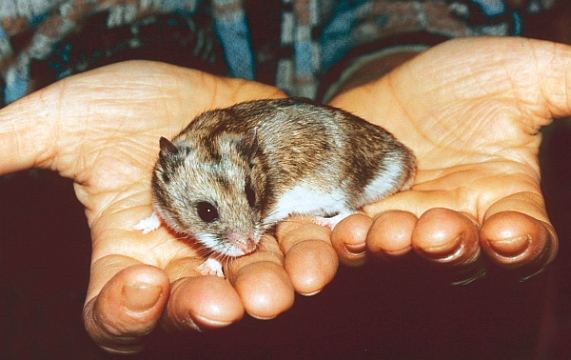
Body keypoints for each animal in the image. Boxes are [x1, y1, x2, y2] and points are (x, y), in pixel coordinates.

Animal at [137, 97, 418, 278]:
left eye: (252, 196)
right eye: (206, 211)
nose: (251, 248)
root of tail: (403, 158)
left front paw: (206, 267)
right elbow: (157, 214)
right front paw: (140, 227)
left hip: (342, 188)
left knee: (351, 210)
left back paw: (323, 222)